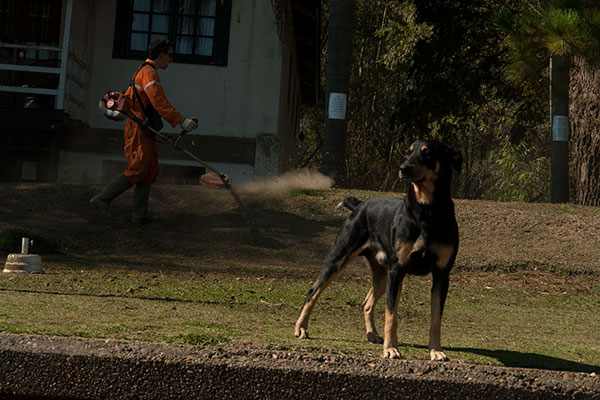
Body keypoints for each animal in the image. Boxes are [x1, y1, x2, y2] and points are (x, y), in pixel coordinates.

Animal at [292, 140, 462, 360]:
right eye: (407, 153)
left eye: (428, 153)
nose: (403, 168)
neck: (427, 211)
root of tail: (360, 205)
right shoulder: (397, 270)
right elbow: (391, 315)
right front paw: (390, 348)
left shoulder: (441, 275)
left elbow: (435, 319)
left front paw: (436, 350)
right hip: (340, 259)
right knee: (313, 292)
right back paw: (301, 328)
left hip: (383, 275)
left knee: (367, 302)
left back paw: (372, 334)